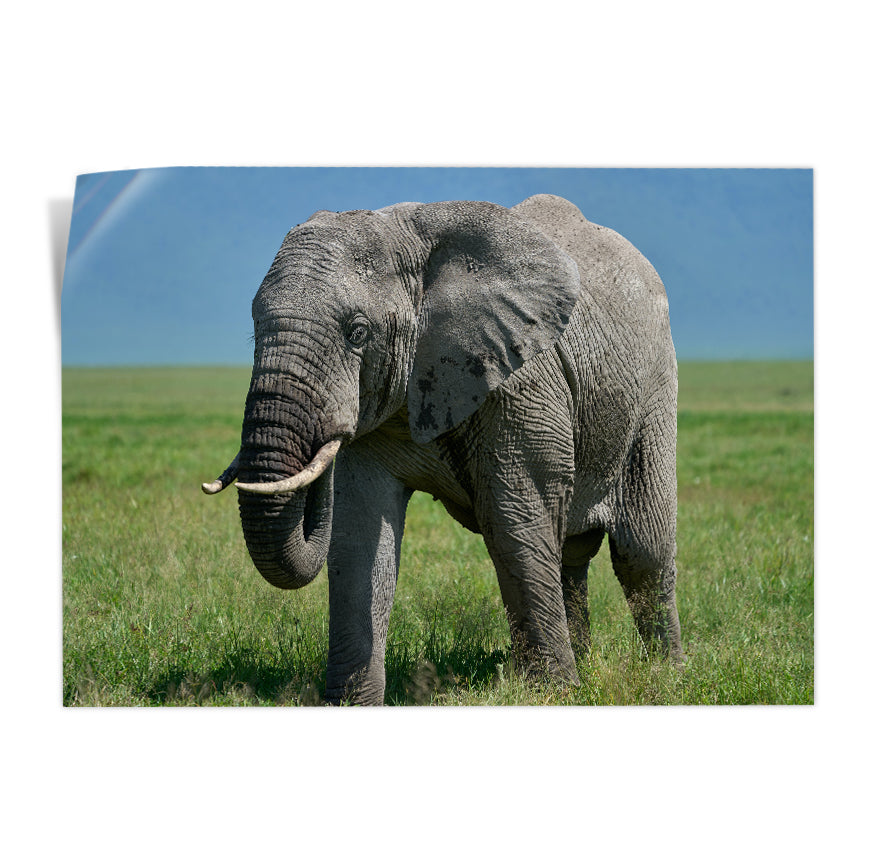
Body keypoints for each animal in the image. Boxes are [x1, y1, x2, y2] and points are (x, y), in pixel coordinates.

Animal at [203, 193, 682, 705]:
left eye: (357, 333)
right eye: (254, 329)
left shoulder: (519, 383)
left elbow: (515, 523)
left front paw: (554, 696)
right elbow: (359, 536)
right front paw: (351, 704)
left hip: (653, 389)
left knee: (642, 553)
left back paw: (668, 674)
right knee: (572, 554)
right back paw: (589, 663)